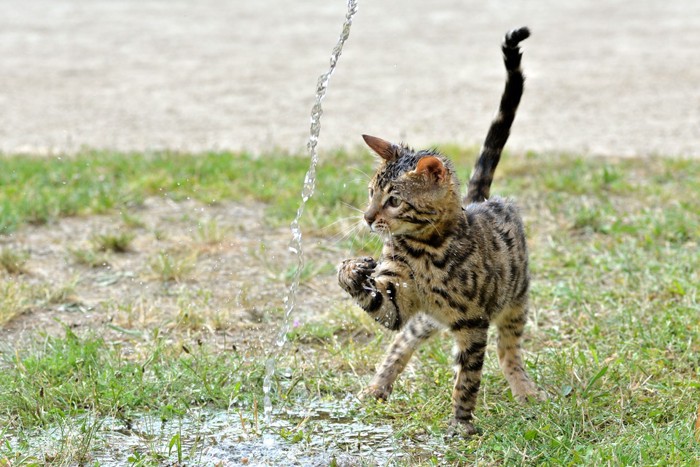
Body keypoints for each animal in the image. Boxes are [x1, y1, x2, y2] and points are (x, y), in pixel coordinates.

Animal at [336, 26, 540, 436]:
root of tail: (480, 200)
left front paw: (461, 425)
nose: (366, 217)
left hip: (515, 300)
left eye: (393, 200)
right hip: (427, 319)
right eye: (370, 193)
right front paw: (350, 271)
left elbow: (467, 379)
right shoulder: (397, 303)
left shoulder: (473, 323)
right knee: (401, 345)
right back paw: (377, 388)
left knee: (508, 351)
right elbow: (381, 310)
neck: (424, 250)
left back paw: (524, 389)